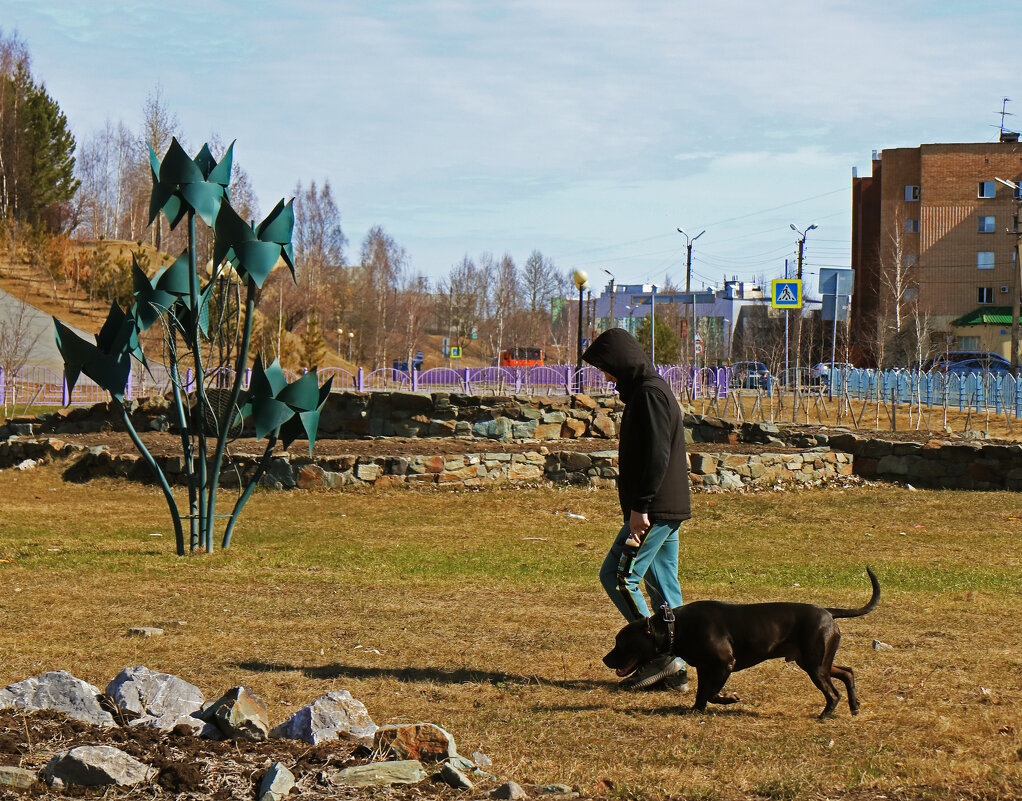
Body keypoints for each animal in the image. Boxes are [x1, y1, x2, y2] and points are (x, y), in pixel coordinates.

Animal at [600, 568, 883, 715]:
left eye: (621, 642)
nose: (604, 659)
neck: (673, 626)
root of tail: (827, 612)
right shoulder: (705, 668)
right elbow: (702, 692)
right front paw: (696, 710)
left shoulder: (724, 664)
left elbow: (713, 692)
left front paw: (730, 699)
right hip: (815, 662)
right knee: (847, 672)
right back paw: (854, 706)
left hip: (815, 666)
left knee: (832, 693)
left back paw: (826, 715)